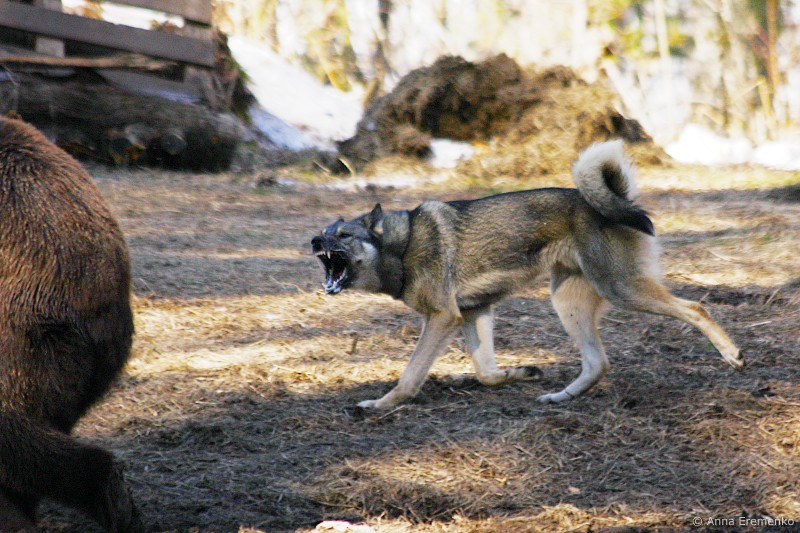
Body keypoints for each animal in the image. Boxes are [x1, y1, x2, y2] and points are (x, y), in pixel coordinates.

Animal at [311, 140, 743, 409]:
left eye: (343, 235)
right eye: (326, 231)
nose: (315, 239)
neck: (402, 245)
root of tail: (613, 201)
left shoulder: (443, 318)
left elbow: (409, 377)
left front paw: (377, 405)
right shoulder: (473, 313)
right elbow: (486, 373)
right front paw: (519, 373)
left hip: (622, 289)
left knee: (695, 308)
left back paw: (731, 353)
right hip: (568, 303)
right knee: (598, 363)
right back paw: (560, 397)